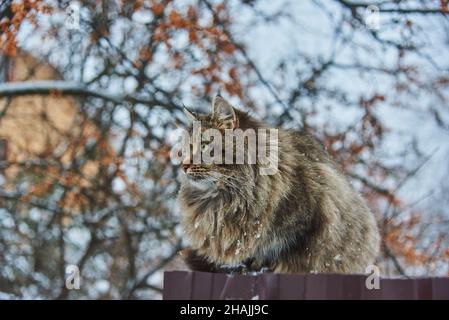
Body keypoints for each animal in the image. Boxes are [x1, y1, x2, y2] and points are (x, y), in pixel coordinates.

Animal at [177, 96, 380, 274]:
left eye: (204, 146)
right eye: (188, 148)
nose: (183, 165)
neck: (226, 198)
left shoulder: (307, 221)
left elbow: (279, 250)